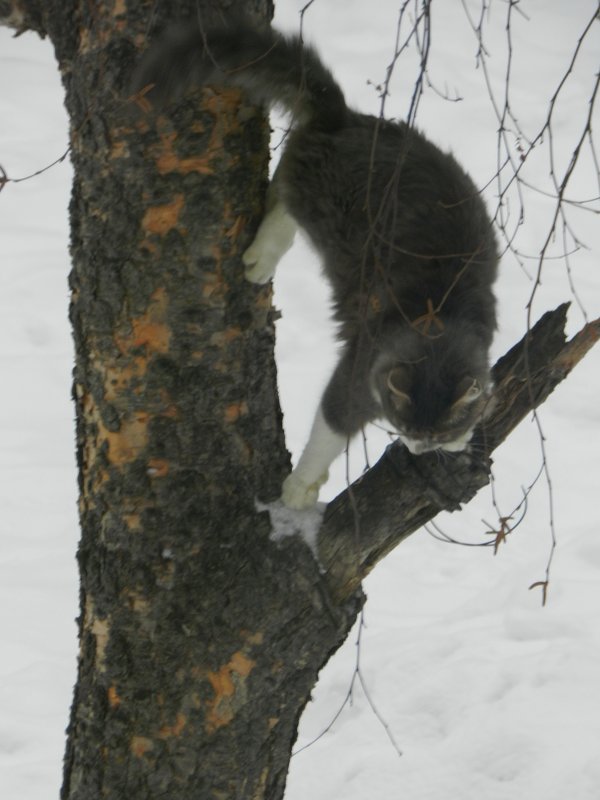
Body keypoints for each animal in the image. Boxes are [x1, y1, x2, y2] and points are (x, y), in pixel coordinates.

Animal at [134, 15, 500, 510]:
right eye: (406, 425)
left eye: (434, 432)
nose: (418, 446)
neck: (442, 320)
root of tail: (344, 118)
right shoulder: (357, 373)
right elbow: (330, 428)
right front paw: (298, 489)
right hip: (324, 204)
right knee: (283, 195)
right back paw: (260, 258)